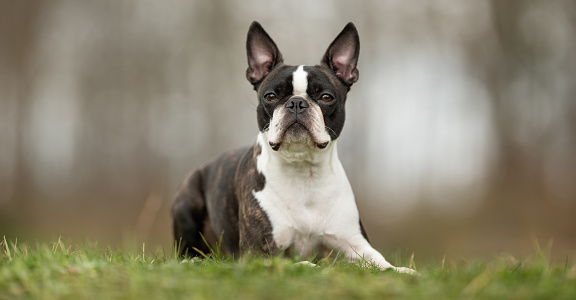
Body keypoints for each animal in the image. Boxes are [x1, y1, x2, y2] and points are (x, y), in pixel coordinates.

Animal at [171, 21, 414, 274]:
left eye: (326, 97)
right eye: (270, 96)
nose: (297, 103)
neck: (302, 170)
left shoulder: (356, 243)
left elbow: (381, 263)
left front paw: (402, 271)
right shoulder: (257, 251)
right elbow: (298, 262)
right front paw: (314, 267)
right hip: (188, 198)